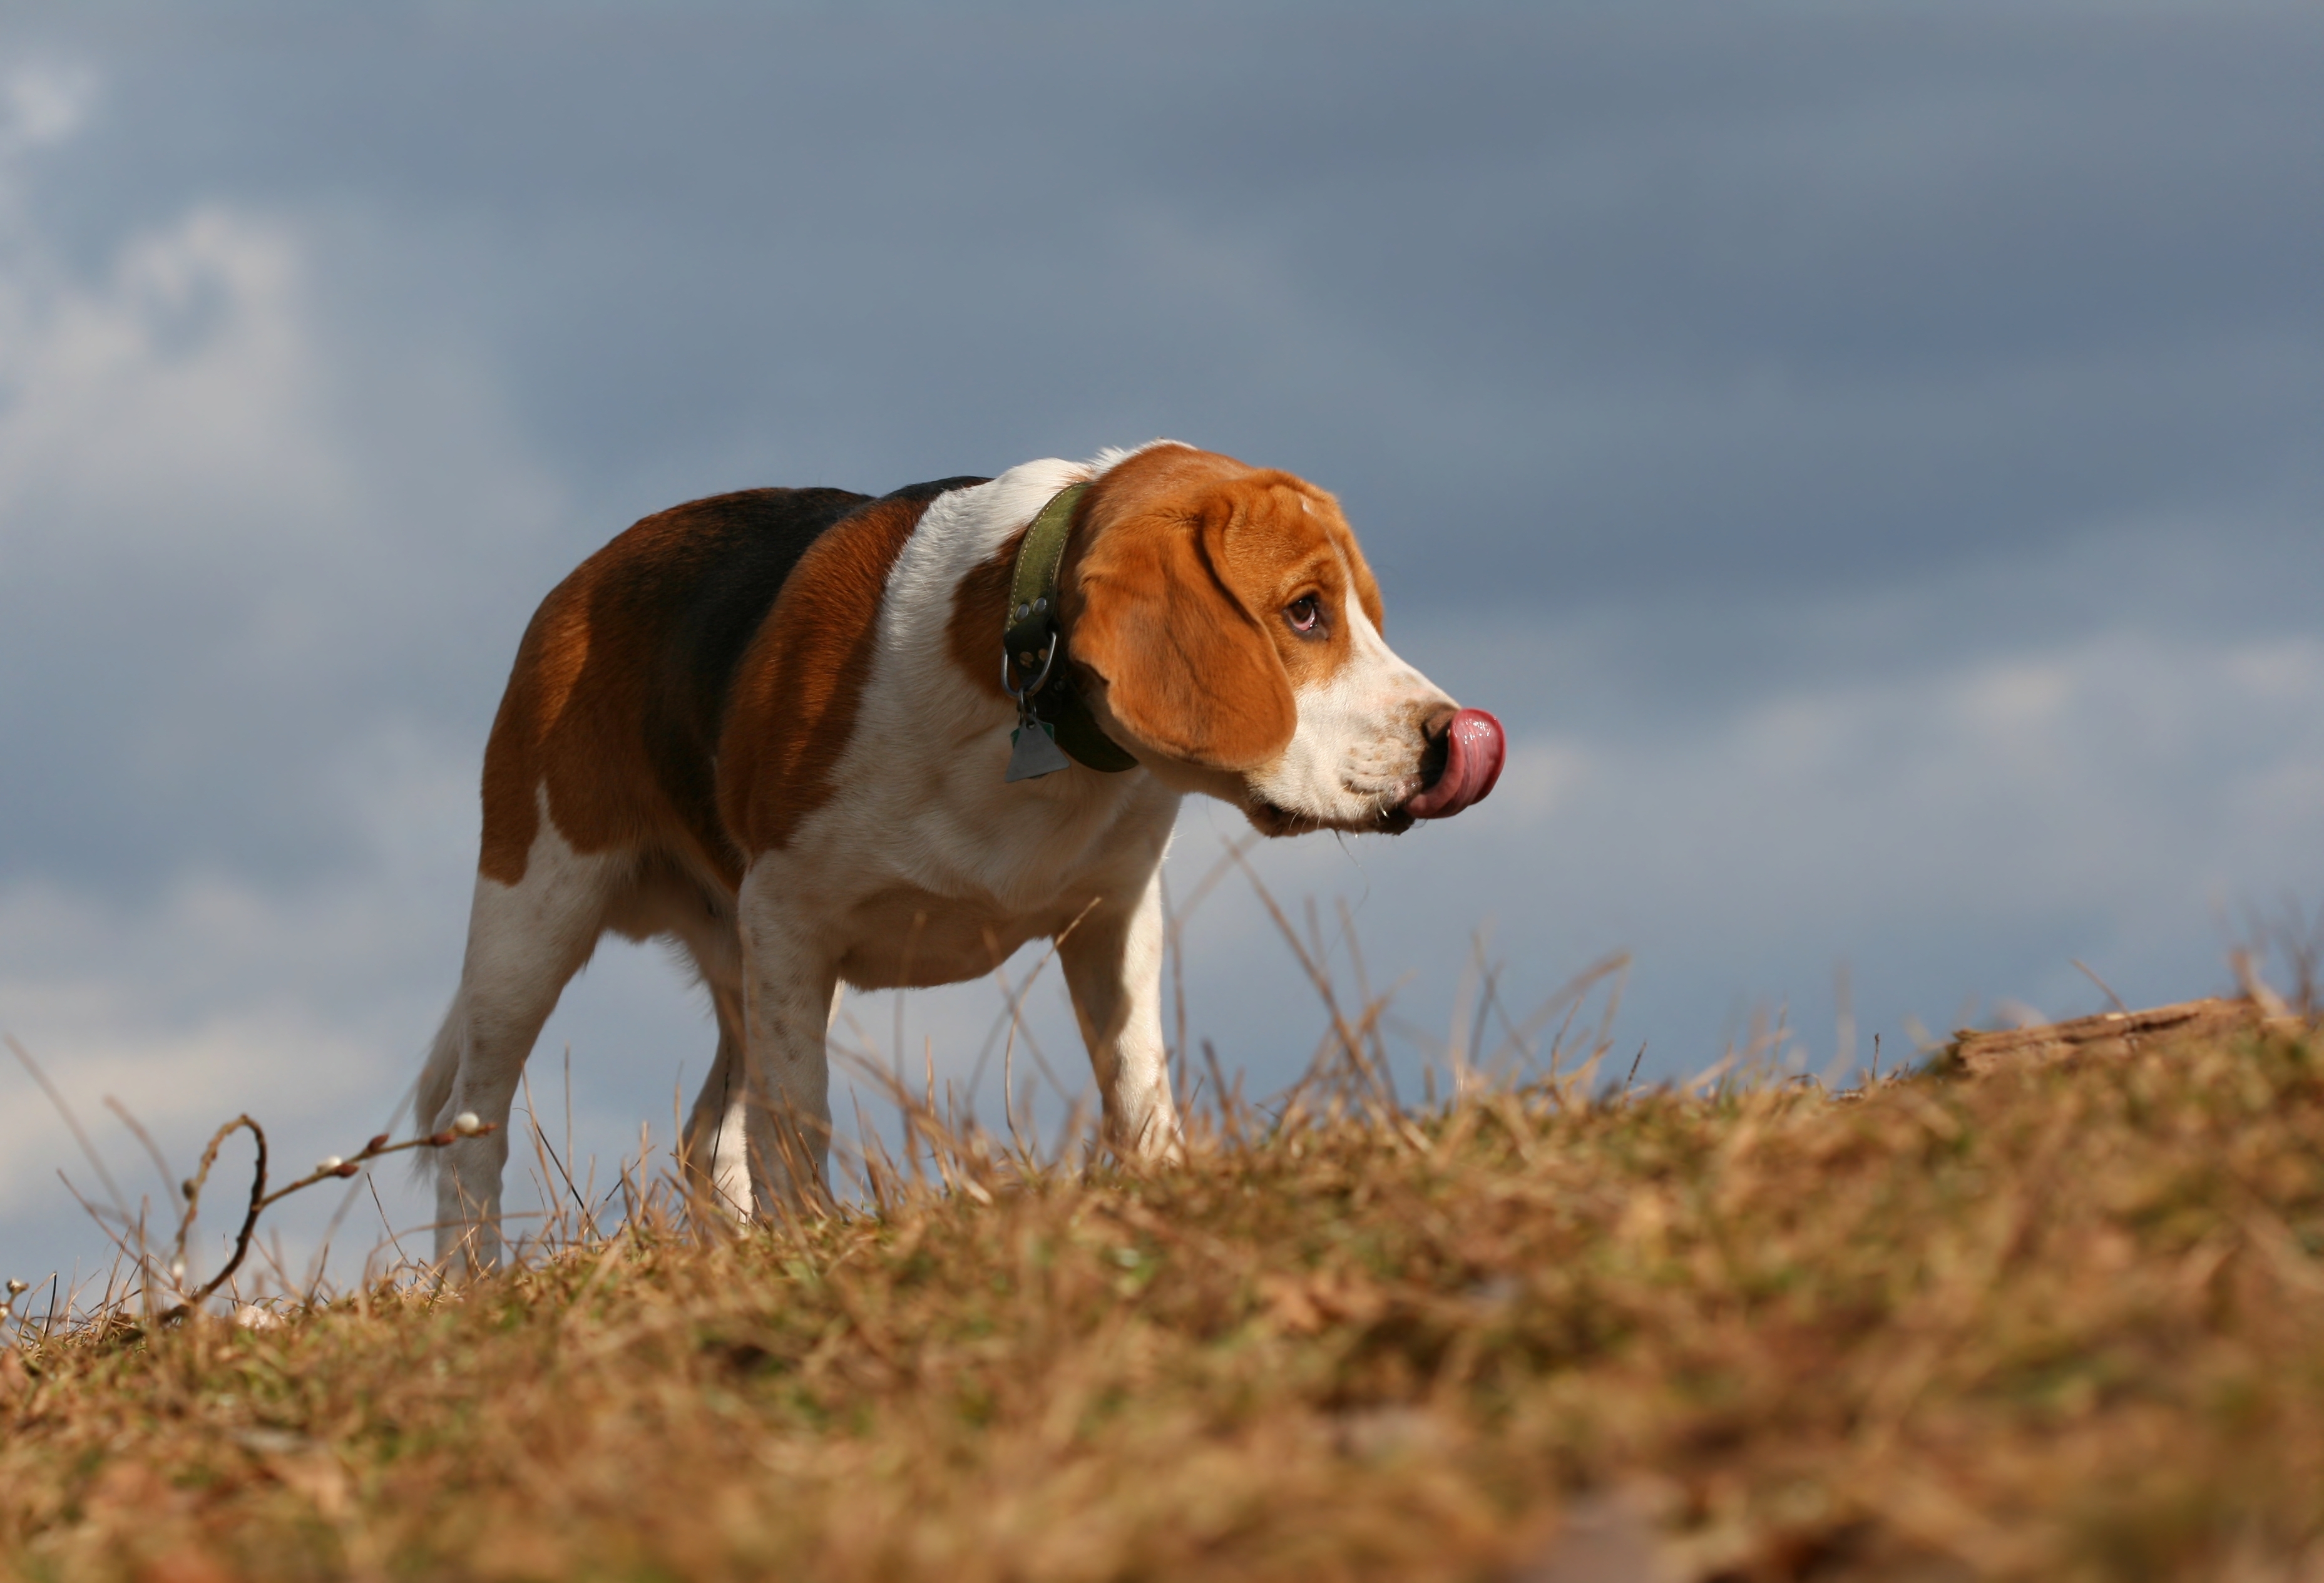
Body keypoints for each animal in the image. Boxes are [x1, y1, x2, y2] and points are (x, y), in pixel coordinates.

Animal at [418, 439, 1506, 1264]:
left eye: (1362, 613)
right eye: (1304, 612)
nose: (1447, 739)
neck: (1024, 675)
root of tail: (583, 579)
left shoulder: (1116, 915)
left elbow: (1136, 1079)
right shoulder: (789, 916)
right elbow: (798, 1118)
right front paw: (812, 1238)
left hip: (737, 962)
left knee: (706, 1140)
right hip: (534, 916)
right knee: (476, 1128)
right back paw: (473, 1278)